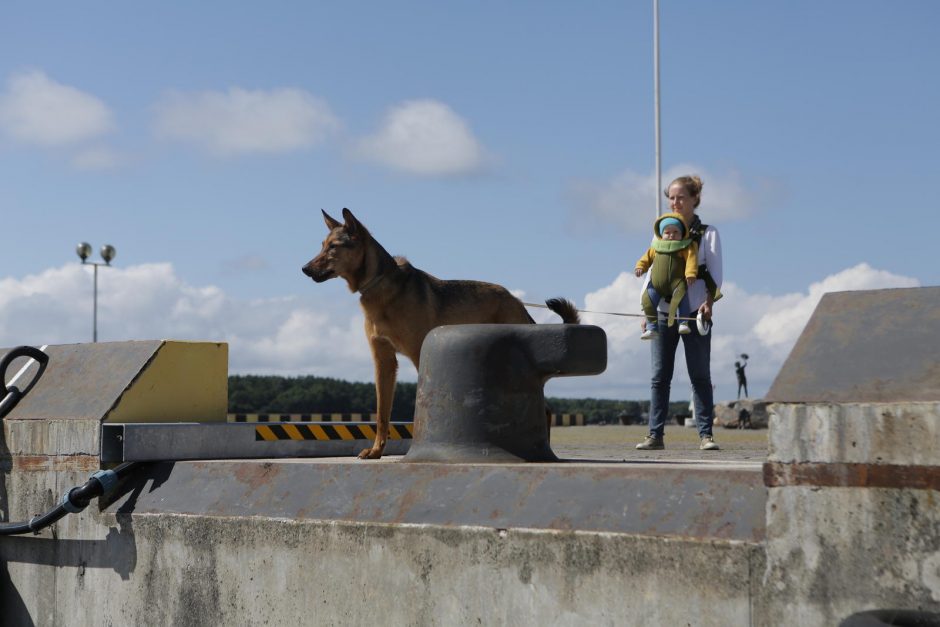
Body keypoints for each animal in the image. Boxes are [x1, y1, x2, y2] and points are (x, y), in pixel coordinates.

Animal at [302, 209, 580, 458]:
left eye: (333, 247)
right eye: (322, 245)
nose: (304, 269)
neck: (379, 284)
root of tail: (517, 301)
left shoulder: (418, 356)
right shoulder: (384, 362)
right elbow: (382, 414)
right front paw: (376, 451)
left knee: (545, 409)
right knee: (544, 408)